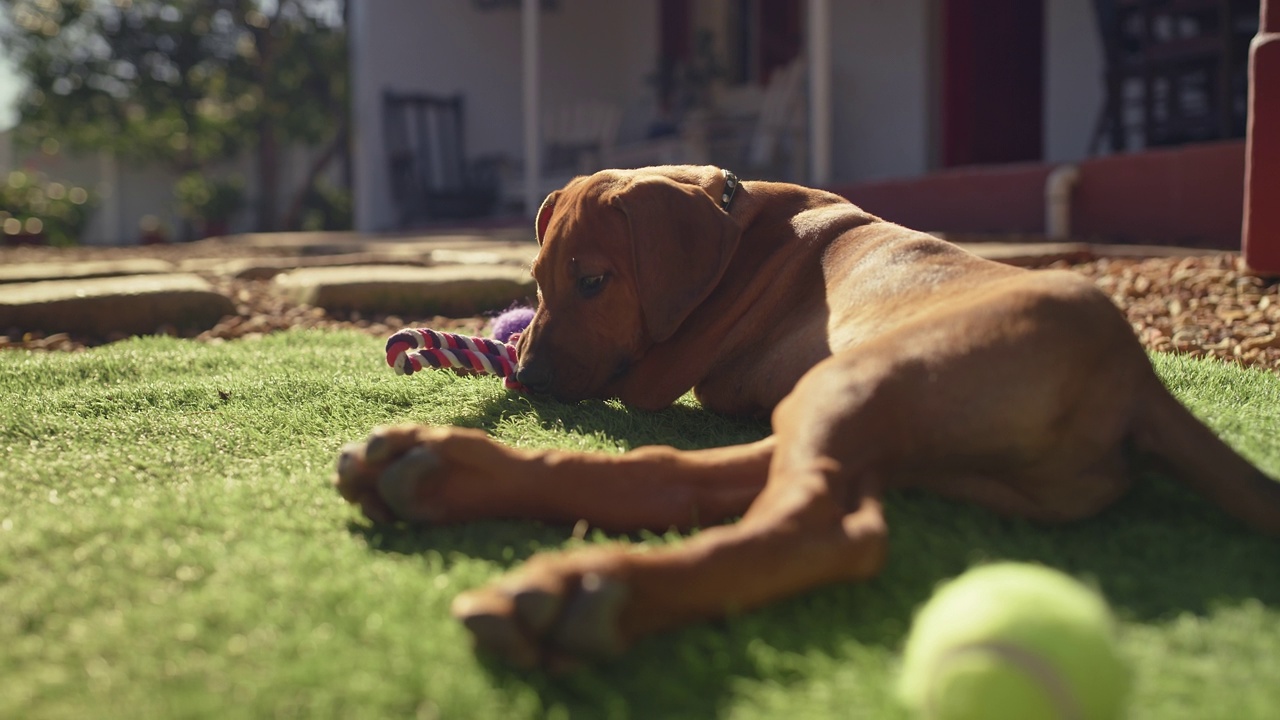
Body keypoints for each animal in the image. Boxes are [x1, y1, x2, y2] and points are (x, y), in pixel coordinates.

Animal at [335, 163, 1280, 666]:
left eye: (595, 281)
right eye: (534, 283)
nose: (524, 380)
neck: (738, 216)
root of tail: (1138, 378)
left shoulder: (665, 368)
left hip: (860, 379)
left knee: (827, 526)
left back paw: (589, 592)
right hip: (872, 413)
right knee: (681, 477)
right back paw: (432, 473)